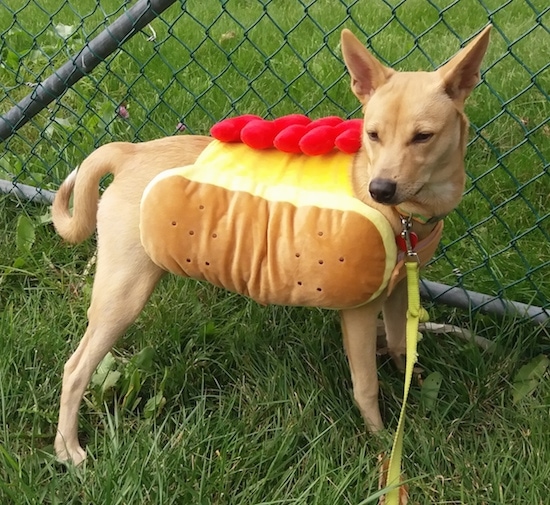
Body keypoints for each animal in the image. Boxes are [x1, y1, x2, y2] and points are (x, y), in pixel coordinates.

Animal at [50, 25, 492, 462]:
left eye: (423, 137)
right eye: (372, 135)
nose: (380, 189)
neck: (408, 215)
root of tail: (129, 151)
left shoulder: (400, 289)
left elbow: (403, 344)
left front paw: (410, 386)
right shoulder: (360, 312)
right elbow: (366, 385)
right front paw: (383, 441)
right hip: (123, 294)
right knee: (74, 369)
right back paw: (67, 447)